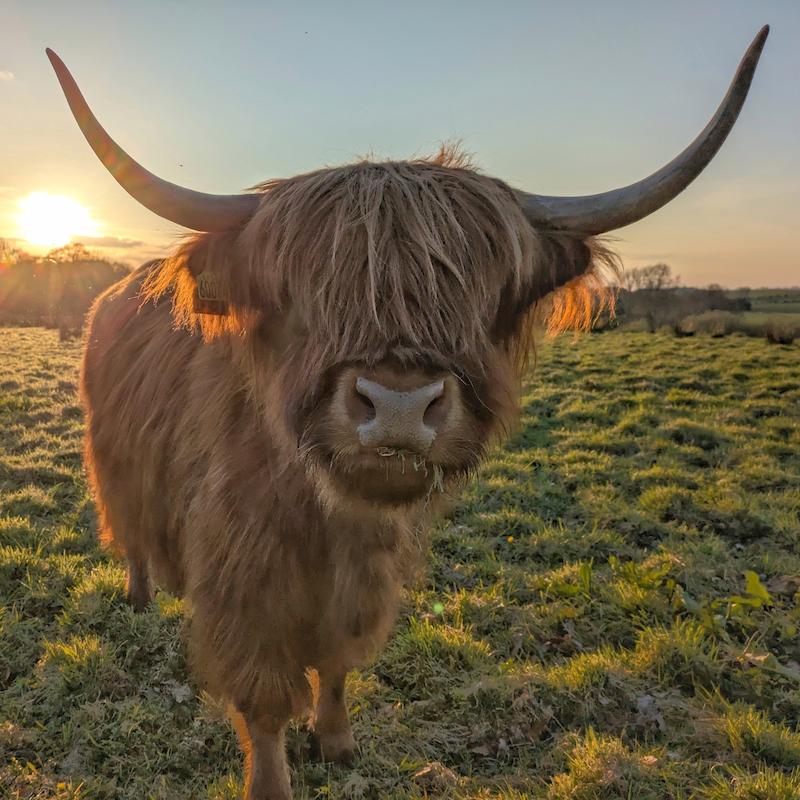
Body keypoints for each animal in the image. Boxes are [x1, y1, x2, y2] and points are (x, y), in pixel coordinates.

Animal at [47, 27, 768, 800]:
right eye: (306, 292)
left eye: (474, 289)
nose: (398, 405)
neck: (328, 523)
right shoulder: (244, 567)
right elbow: (264, 696)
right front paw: (271, 780)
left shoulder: (365, 572)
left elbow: (336, 656)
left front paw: (335, 741)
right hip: (114, 459)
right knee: (130, 529)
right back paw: (141, 598)